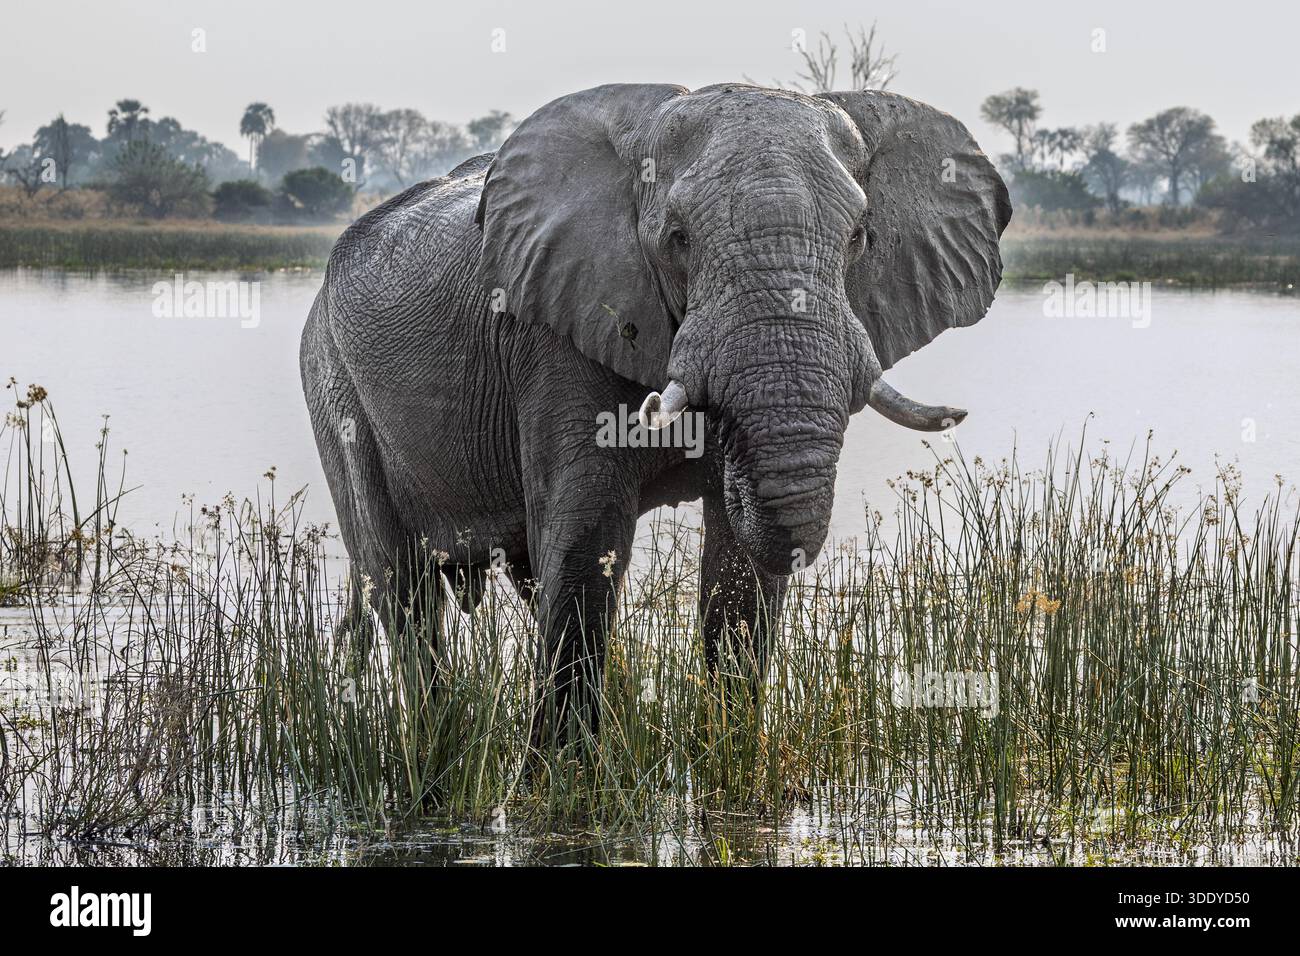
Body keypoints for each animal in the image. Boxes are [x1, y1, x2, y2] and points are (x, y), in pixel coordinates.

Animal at [300, 83, 1011, 751]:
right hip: (331, 381)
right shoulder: (555, 334)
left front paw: (729, 756)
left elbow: (737, 571)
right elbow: (585, 545)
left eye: (860, 238)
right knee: (402, 589)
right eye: (677, 240)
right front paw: (563, 774)